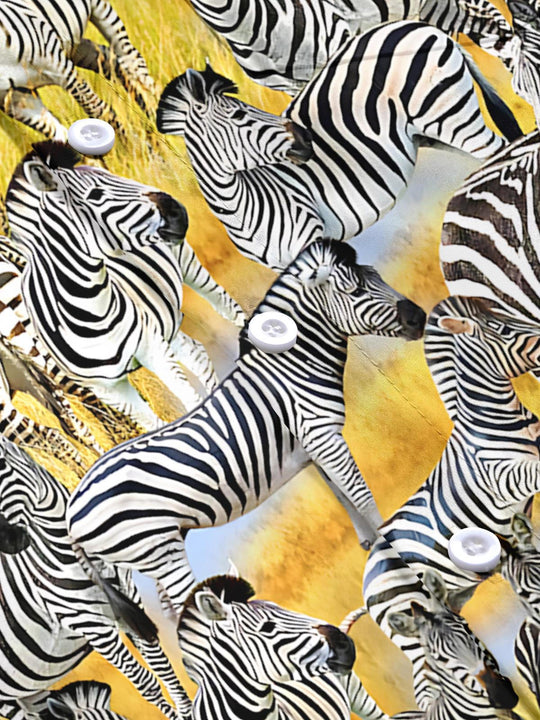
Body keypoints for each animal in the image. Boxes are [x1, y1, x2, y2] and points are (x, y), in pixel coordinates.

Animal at [0, 0, 155, 139]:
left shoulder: (60, 68)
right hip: (74, 46)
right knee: (111, 61)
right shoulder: (17, 98)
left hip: (100, 11)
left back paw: (156, 118)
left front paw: (137, 149)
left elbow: (100, 111)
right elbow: (59, 135)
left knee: (133, 62)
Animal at [0, 435, 193, 720]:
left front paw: (187, 710)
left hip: (27, 692)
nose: (9, 542)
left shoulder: (129, 599)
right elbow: (146, 682)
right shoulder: (88, 623)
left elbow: (162, 666)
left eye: (2, 464)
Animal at [6, 141, 245, 430]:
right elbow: (152, 423)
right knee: (196, 351)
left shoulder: (152, 349)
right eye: (95, 195)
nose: (177, 211)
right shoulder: (108, 390)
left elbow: (191, 400)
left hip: (187, 265)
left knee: (227, 308)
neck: (90, 312)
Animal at [66, 239, 426, 624]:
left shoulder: (315, 445)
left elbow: (344, 497)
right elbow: (361, 497)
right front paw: (394, 550)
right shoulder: (323, 436)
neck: (291, 366)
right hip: (158, 550)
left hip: (146, 557)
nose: (420, 318)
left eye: (375, 274)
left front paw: (372, 546)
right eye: (356, 290)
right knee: (184, 603)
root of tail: (71, 510)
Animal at [157, 22, 520, 271]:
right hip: (434, 131)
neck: (242, 207)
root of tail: (417, 25)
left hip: (451, 116)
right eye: (239, 114)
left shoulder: (313, 241)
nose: (306, 139)